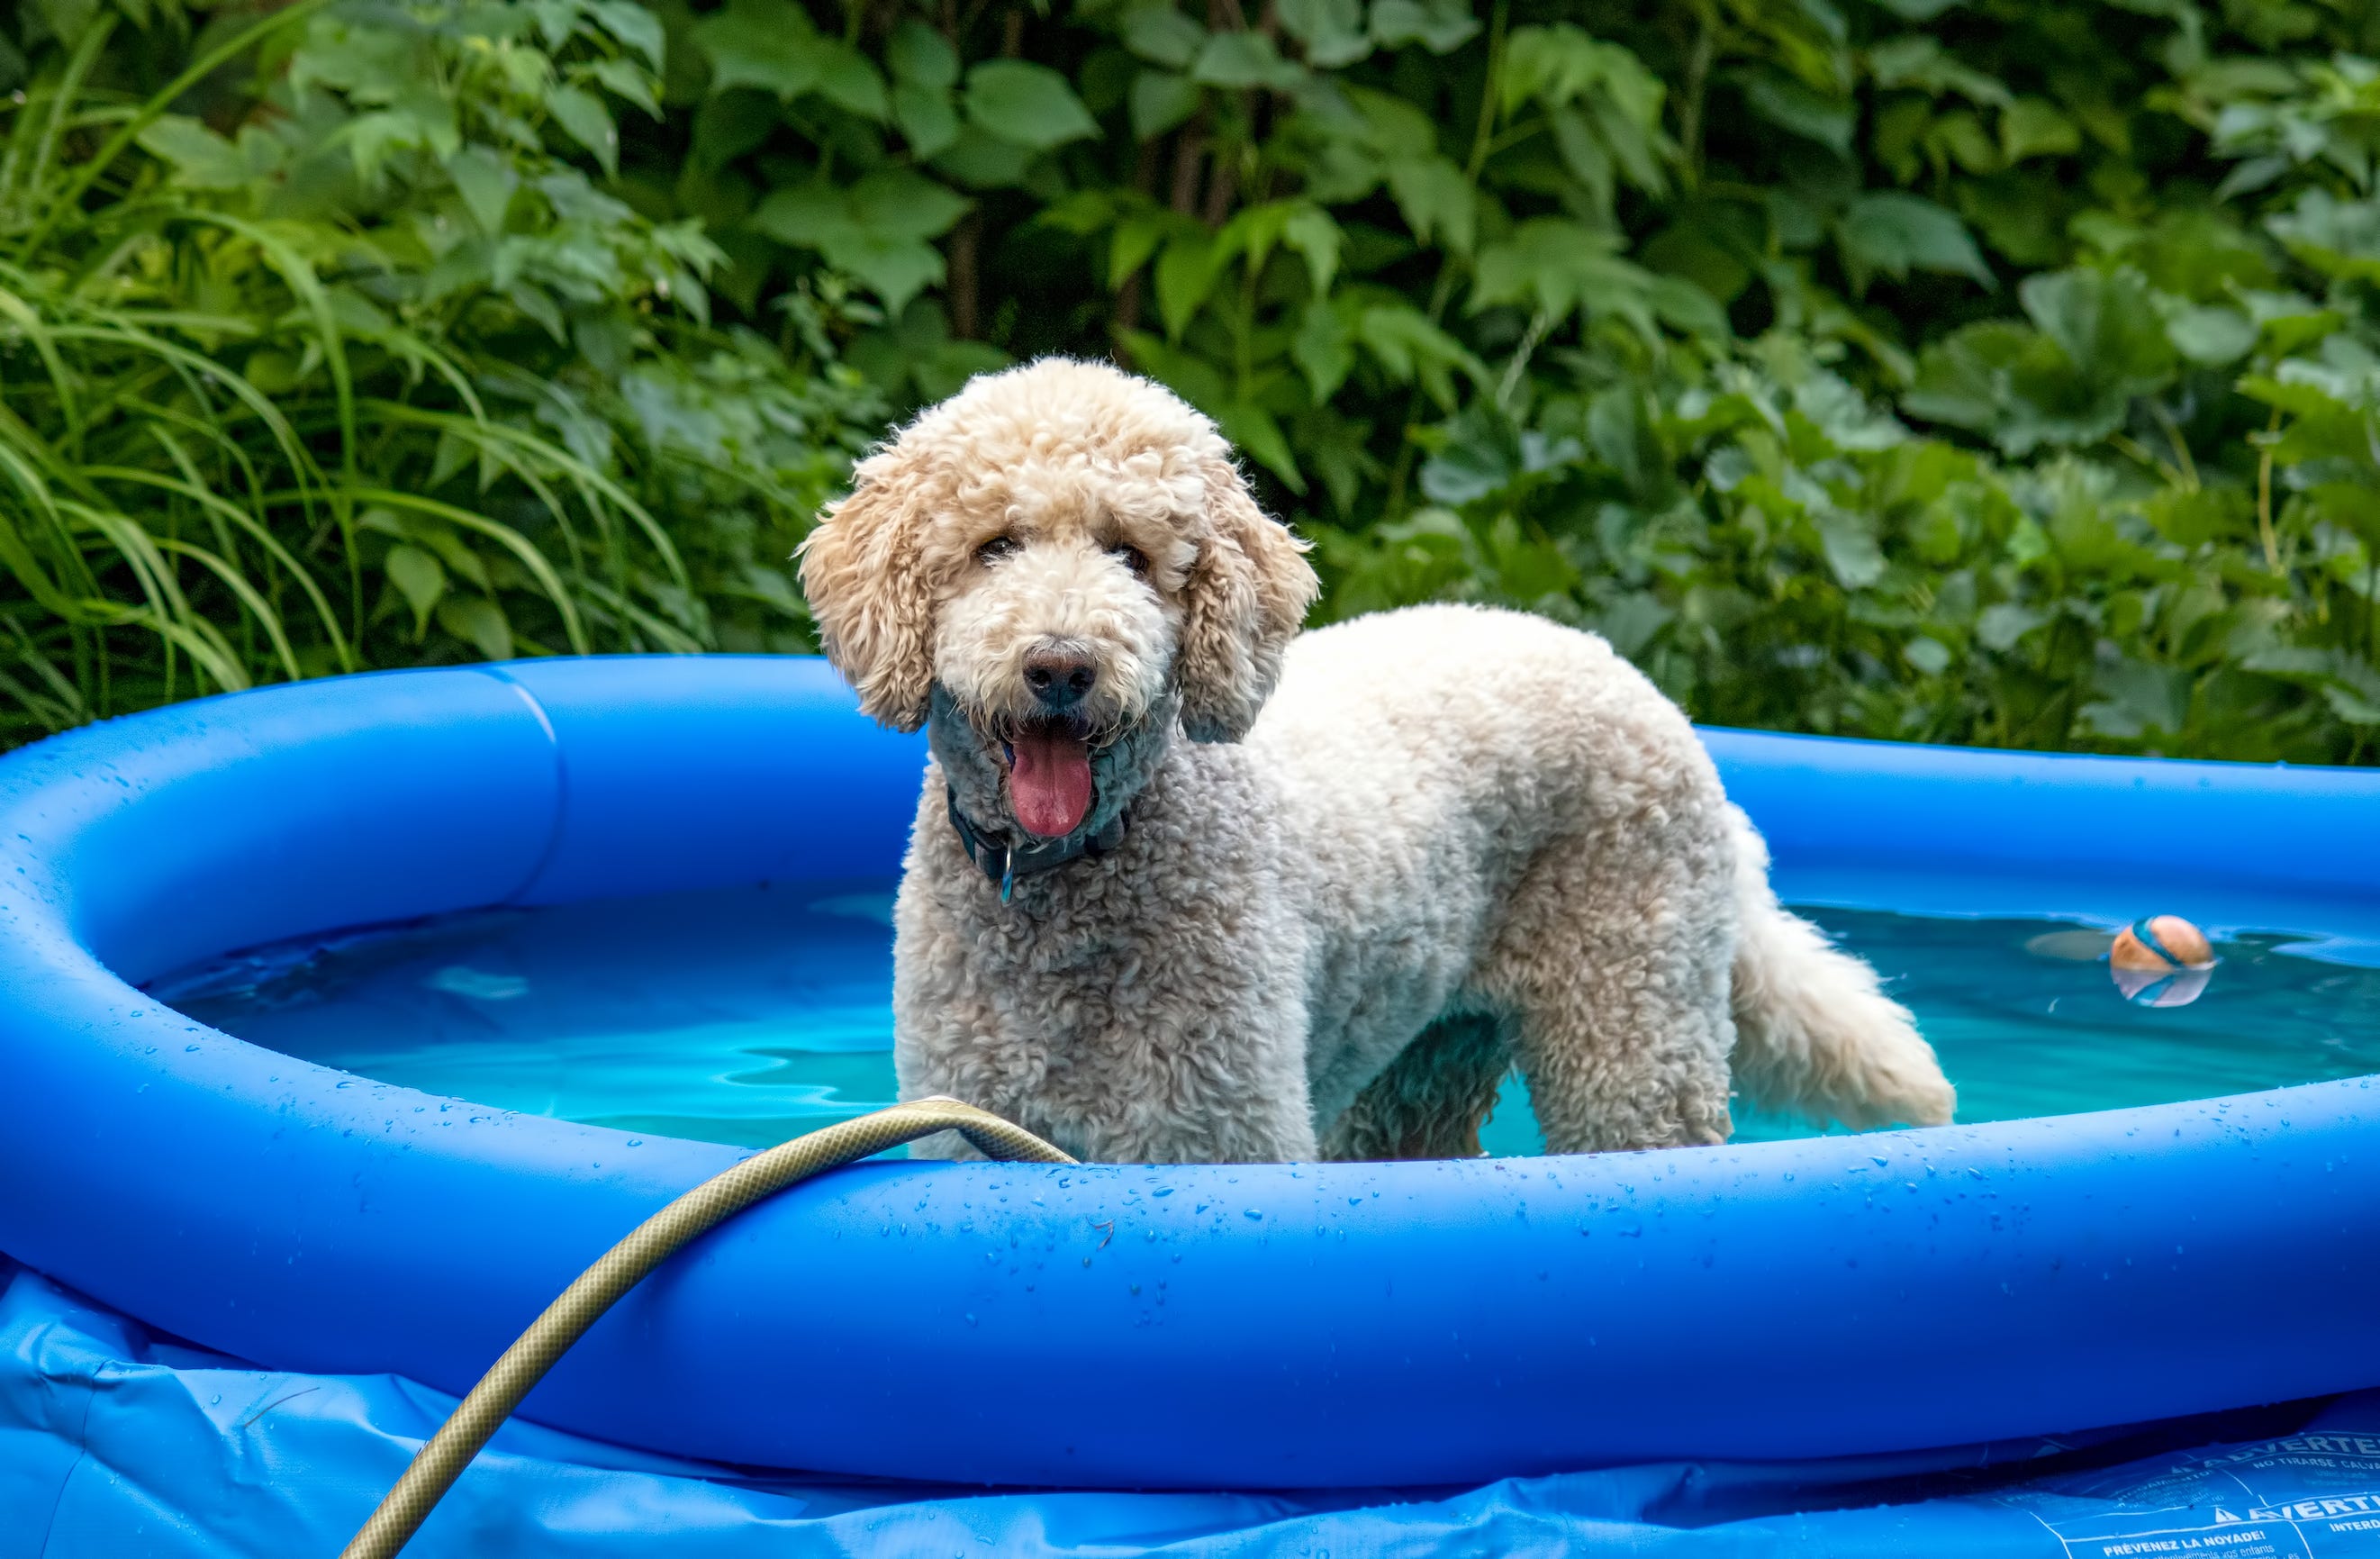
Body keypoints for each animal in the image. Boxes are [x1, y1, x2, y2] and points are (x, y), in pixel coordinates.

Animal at [800, 359, 1951, 1165]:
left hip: (1631, 1029)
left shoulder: (1215, 1131)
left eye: (1132, 554)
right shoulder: (972, 1124)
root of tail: (1637, 681)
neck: (1073, 874)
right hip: (1422, 1062)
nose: (1061, 666)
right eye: (994, 545)